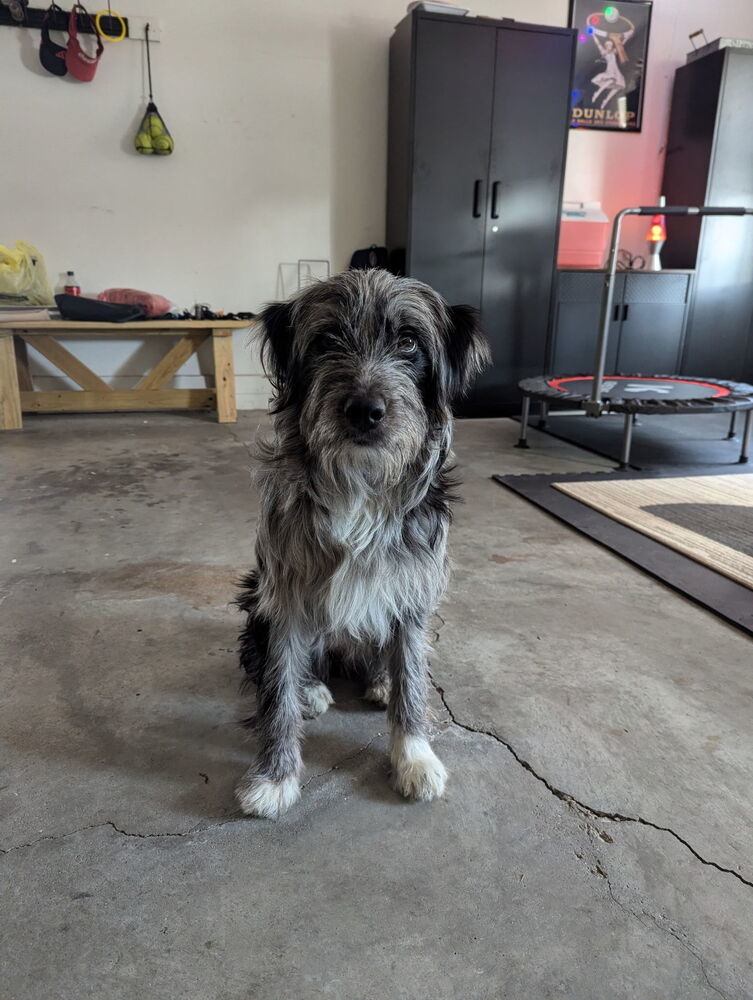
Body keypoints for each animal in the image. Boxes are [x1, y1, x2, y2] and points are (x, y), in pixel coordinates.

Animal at [238, 270, 490, 816]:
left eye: (410, 342)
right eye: (327, 340)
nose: (364, 411)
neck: (363, 485)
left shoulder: (413, 594)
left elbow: (412, 680)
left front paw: (414, 757)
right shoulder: (284, 594)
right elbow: (277, 689)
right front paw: (274, 777)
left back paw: (379, 680)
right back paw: (312, 688)